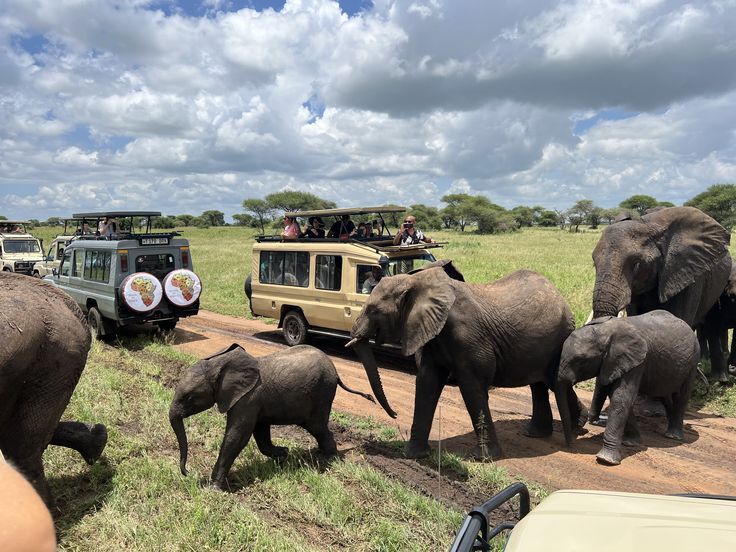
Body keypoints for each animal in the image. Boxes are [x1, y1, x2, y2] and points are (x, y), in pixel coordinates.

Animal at [169, 343, 374, 489]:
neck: (221, 364)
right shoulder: (255, 403)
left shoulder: (248, 399)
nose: (187, 472)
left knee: (317, 426)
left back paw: (328, 459)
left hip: (323, 391)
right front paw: (284, 454)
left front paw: (212, 488)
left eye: (189, 397)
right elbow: (260, 434)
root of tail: (336, 372)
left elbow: (237, 436)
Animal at [346, 262, 582, 460]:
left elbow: (472, 387)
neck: (415, 282)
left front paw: (484, 459)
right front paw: (413, 456)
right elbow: (426, 384)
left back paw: (574, 428)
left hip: (559, 338)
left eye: (373, 310)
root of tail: (557, 293)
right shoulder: (431, 333)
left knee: (552, 380)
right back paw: (545, 433)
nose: (394, 414)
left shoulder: (468, 337)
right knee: (539, 384)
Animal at [556, 310, 699, 466]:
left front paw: (606, 460)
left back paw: (673, 436)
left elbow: (622, 397)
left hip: (693, 361)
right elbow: (618, 397)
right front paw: (631, 443)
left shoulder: (637, 361)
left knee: (681, 396)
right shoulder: (615, 362)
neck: (606, 331)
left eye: (581, 361)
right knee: (664, 394)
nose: (570, 445)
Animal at [591, 206, 731, 381]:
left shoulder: (686, 272)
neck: (648, 224)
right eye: (594, 263)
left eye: (636, 264)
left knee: (712, 323)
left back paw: (717, 378)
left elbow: (679, 319)